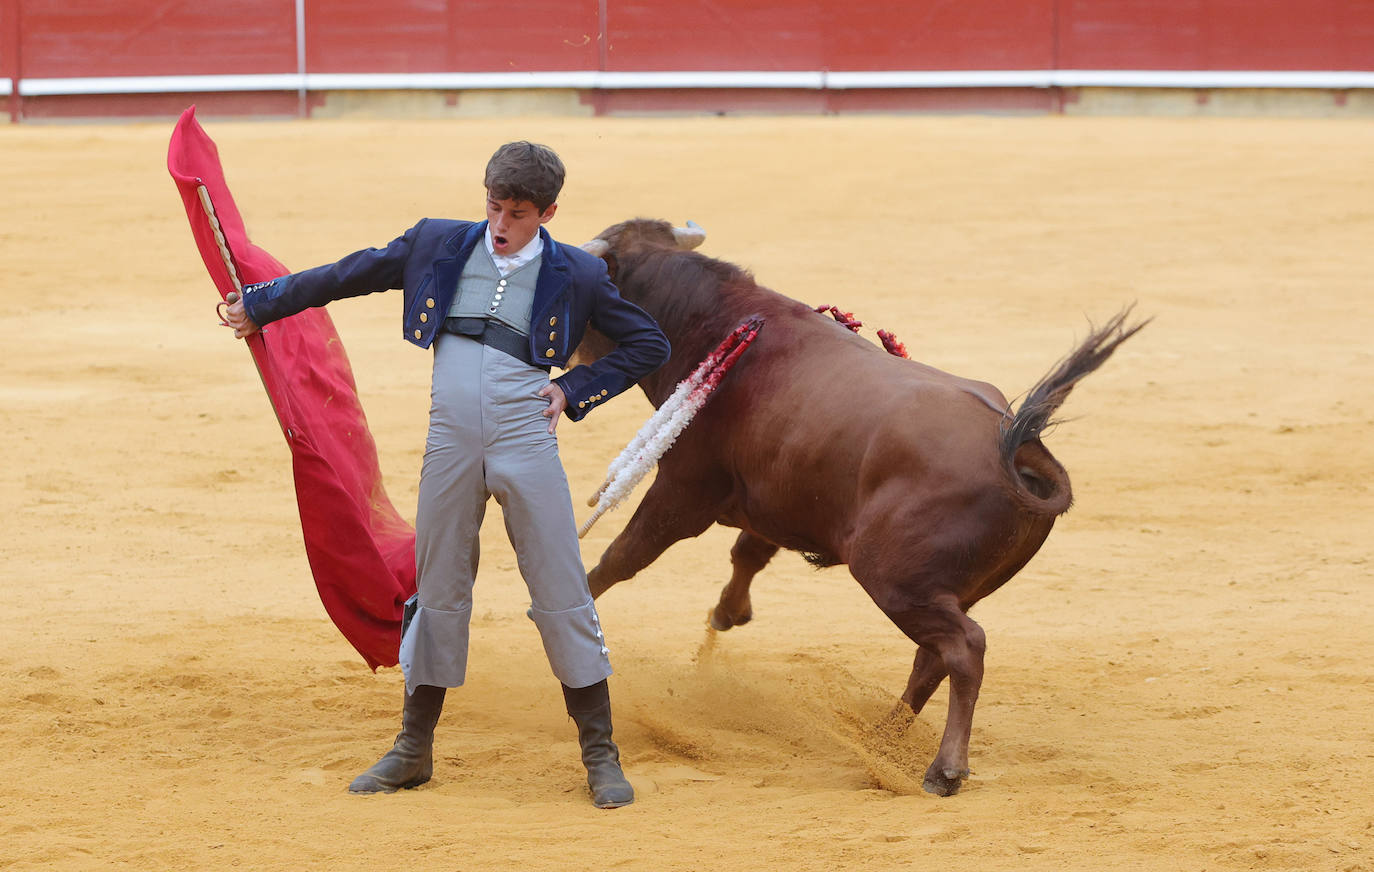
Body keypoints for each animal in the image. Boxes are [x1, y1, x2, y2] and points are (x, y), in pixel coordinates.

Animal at [574, 219, 1143, 796]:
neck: (716, 323)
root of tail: (1018, 445)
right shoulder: (776, 498)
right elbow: (748, 552)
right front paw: (727, 613)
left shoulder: (683, 491)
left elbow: (619, 559)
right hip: (945, 588)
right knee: (931, 657)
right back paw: (881, 741)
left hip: (892, 578)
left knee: (964, 649)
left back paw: (942, 769)